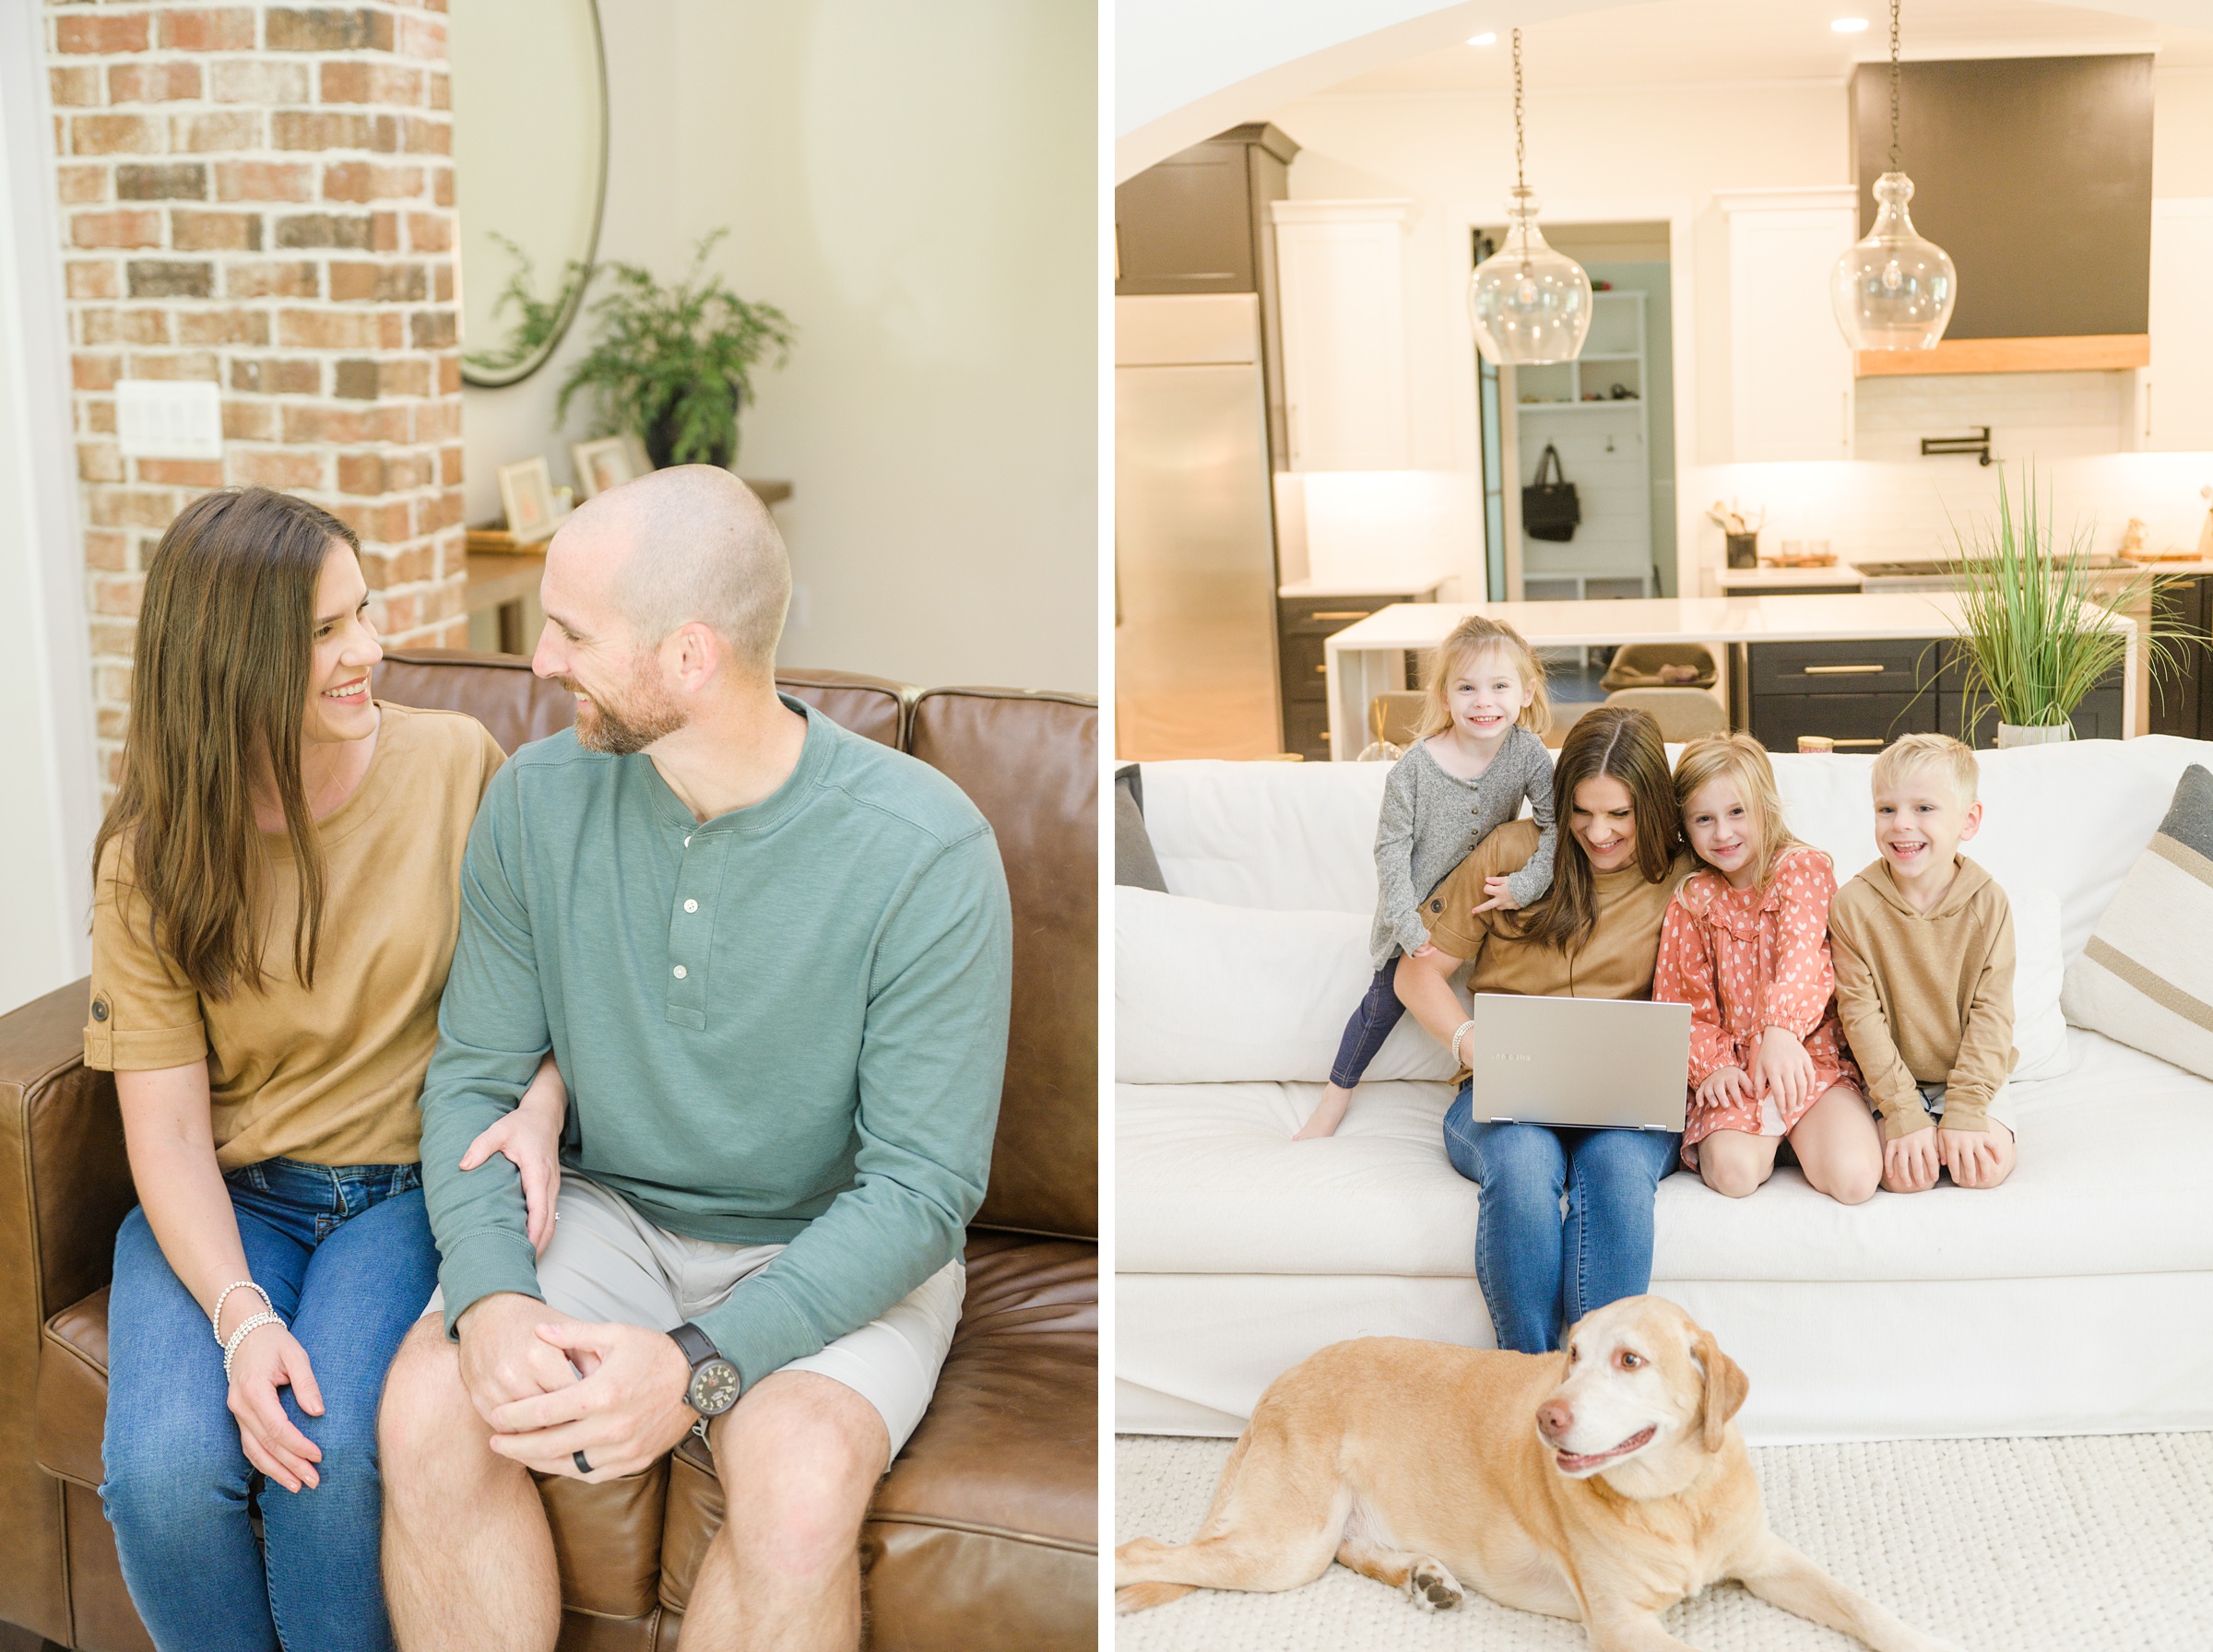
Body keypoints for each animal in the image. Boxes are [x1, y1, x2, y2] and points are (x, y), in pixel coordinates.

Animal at [1124, 1300, 1956, 1645]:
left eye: (1630, 1360)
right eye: (1572, 1354)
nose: (1547, 1418)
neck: (1677, 1500)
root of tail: (1281, 1379)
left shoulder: (1769, 1559)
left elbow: (1861, 1605)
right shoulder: (1623, 1624)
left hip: (1313, 1540)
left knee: (1353, 1552)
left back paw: (1425, 1576)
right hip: (1282, 1549)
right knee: (1147, 1552)